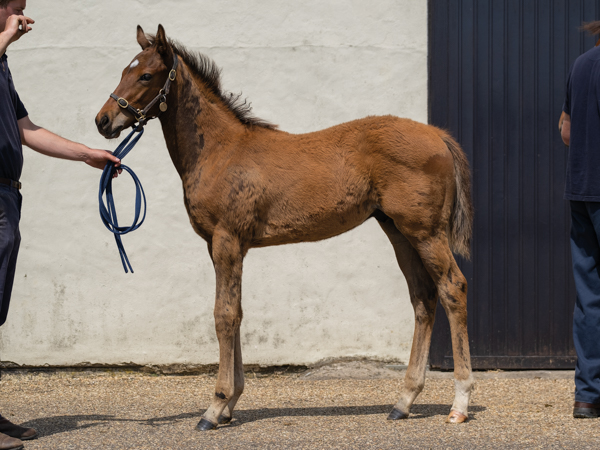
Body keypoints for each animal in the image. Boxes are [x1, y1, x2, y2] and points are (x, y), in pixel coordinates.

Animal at [96, 25, 476, 432]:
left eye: (146, 75)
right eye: (125, 69)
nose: (102, 120)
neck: (220, 150)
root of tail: (438, 136)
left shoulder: (227, 240)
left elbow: (223, 315)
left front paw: (215, 407)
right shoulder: (224, 246)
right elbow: (237, 312)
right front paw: (231, 403)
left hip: (426, 232)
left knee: (453, 288)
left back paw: (460, 402)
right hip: (399, 231)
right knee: (423, 297)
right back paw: (403, 401)